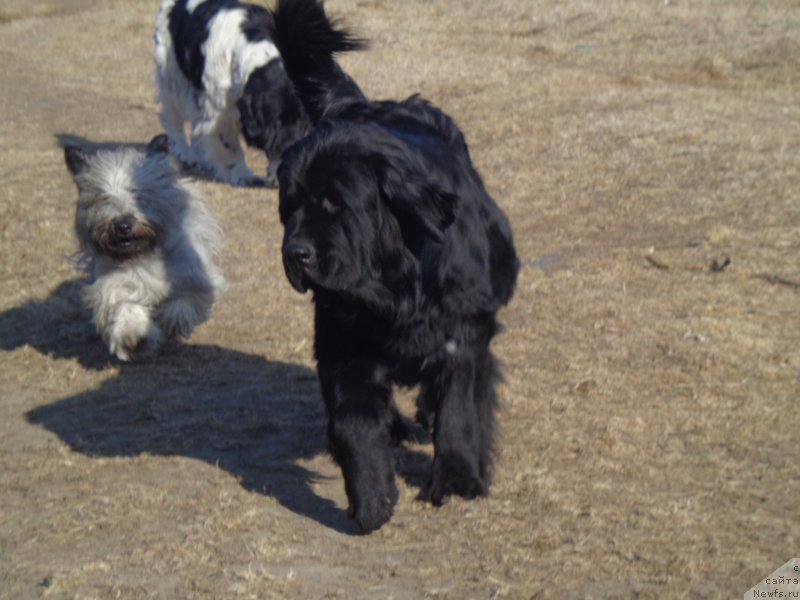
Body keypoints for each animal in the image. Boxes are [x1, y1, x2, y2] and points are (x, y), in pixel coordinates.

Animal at [61, 136, 225, 360]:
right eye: (101, 197)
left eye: (138, 192)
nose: (122, 225)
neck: (144, 255)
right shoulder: (114, 282)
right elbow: (125, 305)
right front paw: (133, 337)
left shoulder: (191, 272)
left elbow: (183, 301)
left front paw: (172, 321)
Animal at [272, 0, 520, 536]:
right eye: (289, 207)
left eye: (336, 204)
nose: (296, 253)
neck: (398, 290)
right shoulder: (343, 346)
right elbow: (354, 423)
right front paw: (371, 497)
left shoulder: (462, 334)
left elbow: (459, 408)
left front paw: (457, 478)